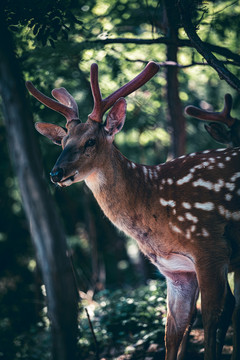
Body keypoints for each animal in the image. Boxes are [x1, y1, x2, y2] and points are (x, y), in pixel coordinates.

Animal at [26, 62, 240, 360]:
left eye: (90, 141)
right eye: (62, 141)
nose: (56, 173)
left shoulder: (210, 248)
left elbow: (211, 319)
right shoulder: (175, 270)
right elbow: (172, 330)